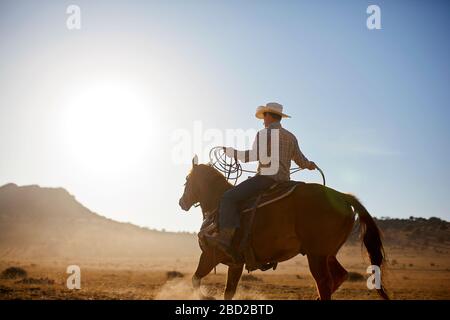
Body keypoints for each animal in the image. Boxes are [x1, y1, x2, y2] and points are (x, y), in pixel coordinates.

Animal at [178, 158, 388, 300]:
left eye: (187, 180)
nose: (182, 202)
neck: (218, 204)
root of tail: (342, 196)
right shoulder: (236, 263)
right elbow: (228, 292)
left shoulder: (210, 255)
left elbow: (195, 279)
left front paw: (207, 296)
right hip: (328, 253)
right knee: (339, 276)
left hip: (317, 255)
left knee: (324, 282)